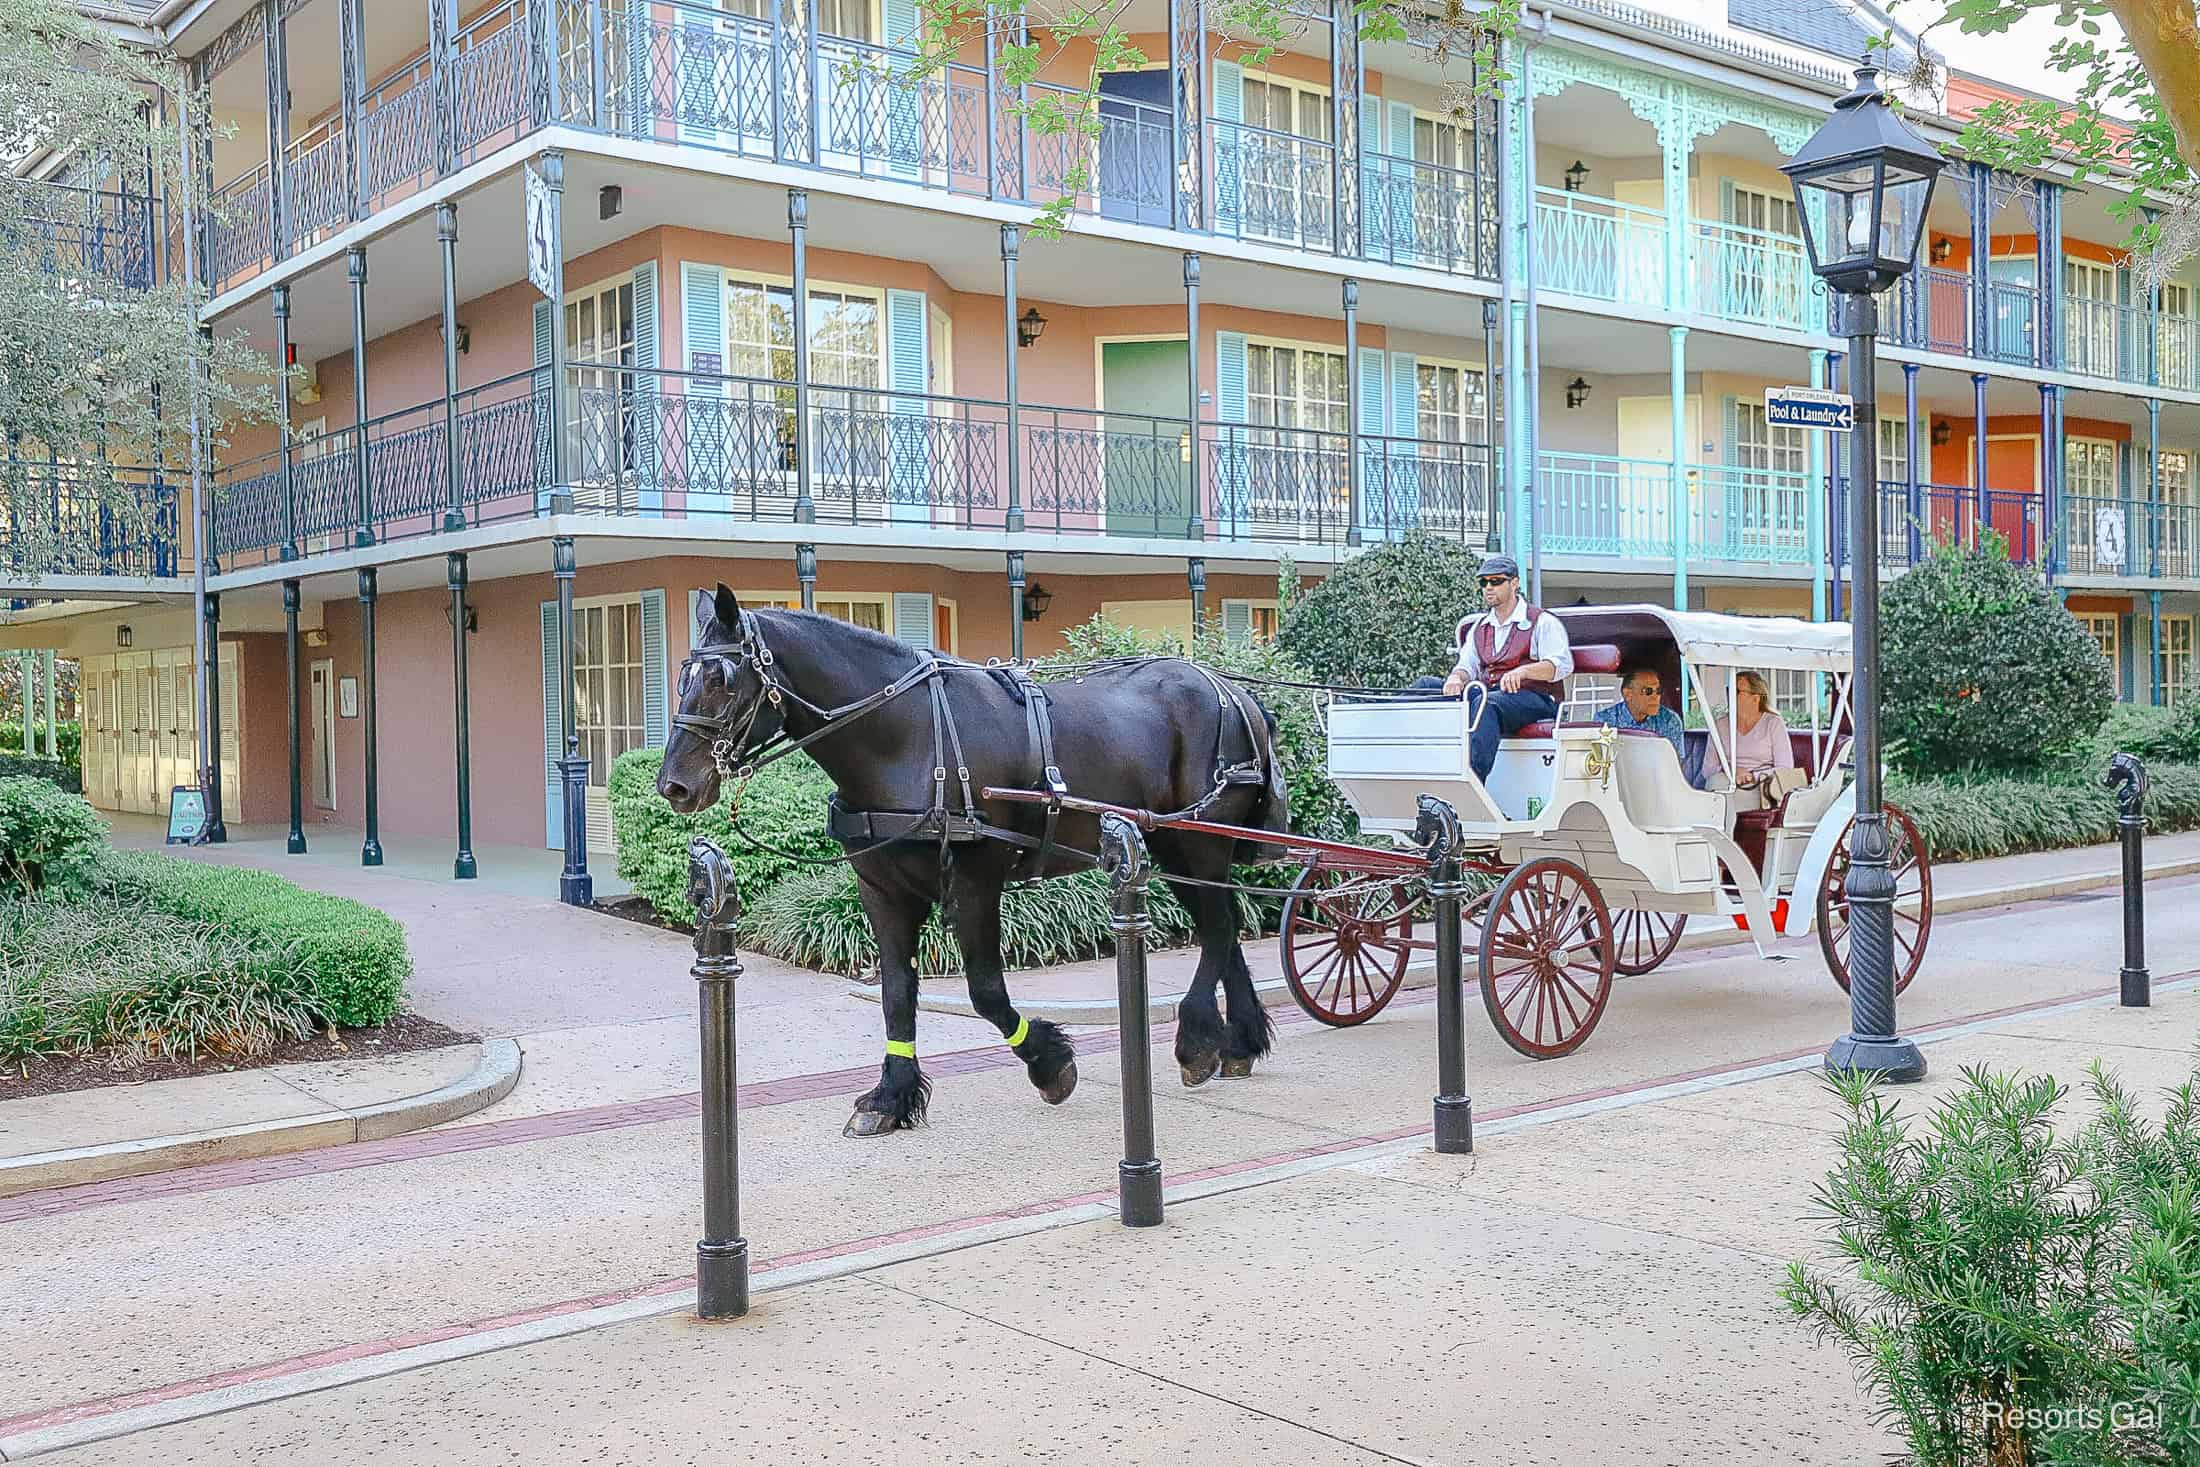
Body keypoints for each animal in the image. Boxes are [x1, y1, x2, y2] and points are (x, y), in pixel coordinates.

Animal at [655, 589, 1284, 1143]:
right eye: (683, 678)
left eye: (721, 679)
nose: (675, 786)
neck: (908, 738)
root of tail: (1231, 691)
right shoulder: (881, 889)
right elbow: (896, 991)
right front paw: (891, 1097)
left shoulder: (977, 880)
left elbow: (984, 991)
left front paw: (1049, 1063)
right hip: (1178, 848)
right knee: (1222, 927)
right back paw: (1238, 1042)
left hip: (1196, 841)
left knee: (1220, 928)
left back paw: (1197, 1040)